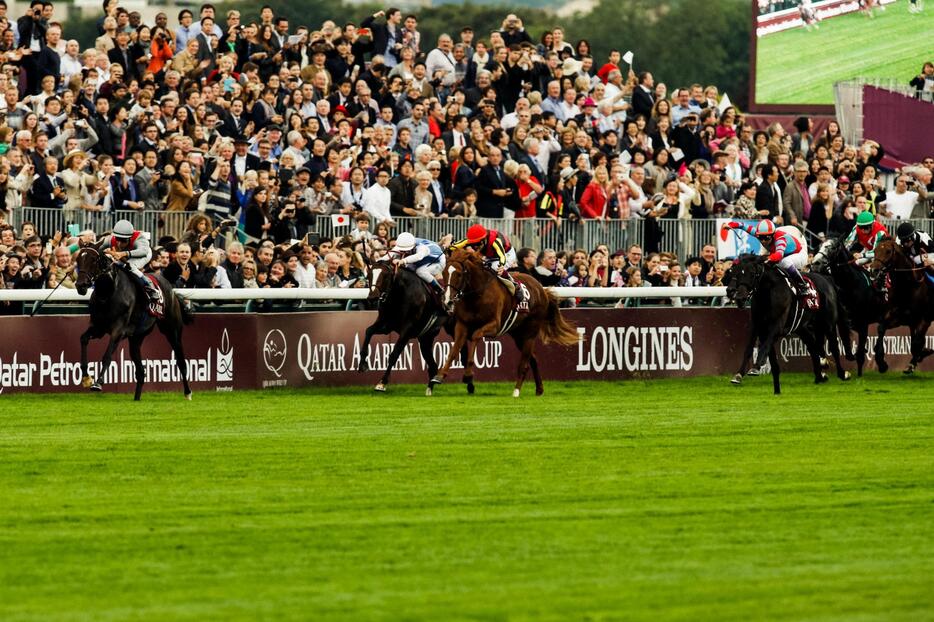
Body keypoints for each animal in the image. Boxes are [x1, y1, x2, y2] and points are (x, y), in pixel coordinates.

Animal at [74, 244, 193, 400]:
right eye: (77, 259)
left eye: (93, 260)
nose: (80, 285)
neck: (108, 293)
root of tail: (171, 290)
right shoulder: (98, 327)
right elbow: (83, 339)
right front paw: (86, 378)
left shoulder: (118, 330)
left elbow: (107, 355)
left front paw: (97, 383)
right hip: (136, 338)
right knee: (141, 371)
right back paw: (136, 399)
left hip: (172, 330)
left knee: (180, 361)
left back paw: (188, 393)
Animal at [358, 260, 454, 398]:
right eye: (369, 275)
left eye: (385, 276)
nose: (373, 297)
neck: (400, 293)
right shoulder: (386, 324)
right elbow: (368, 331)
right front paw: (362, 364)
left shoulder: (407, 331)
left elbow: (394, 355)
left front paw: (382, 383)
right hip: (426, 338)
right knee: (433, 365)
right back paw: (429, 388)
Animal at [432, 247, 576, 398]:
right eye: (444, 273)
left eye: (459, 274)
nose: (447, 301)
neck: (477, 295)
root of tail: (542, 290)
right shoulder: (462, 325)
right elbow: (454, 350)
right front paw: (439, 376)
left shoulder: (495, 326)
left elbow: (476, 336)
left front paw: (468, 375)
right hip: (518, 335)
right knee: (533, 359)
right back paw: (539, 389)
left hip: (530, 332)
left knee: (524, 363)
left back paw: (516, 391)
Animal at [728, 255, 852, 394]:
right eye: (735, 273)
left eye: (753, 274)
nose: (739, 297)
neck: (768, 293)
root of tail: (828, 280)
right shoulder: (758, 326)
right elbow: (750, 349)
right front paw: (739, 374)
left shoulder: (776, 326)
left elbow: (765, 346)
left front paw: (756, 366)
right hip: (803, 328)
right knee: (813, 347)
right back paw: (820, 373)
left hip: (828, 324)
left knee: (834, 347)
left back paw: (842, 373)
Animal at [812, 238, 892, 376]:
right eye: (819, 246)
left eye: (833, 247)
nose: (815, 263)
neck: (850, 284)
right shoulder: (843, 320)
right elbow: (845, 343)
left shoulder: (863, 323)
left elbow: (859, 354)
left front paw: (859, 375)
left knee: (882, 332)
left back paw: (881, 363)